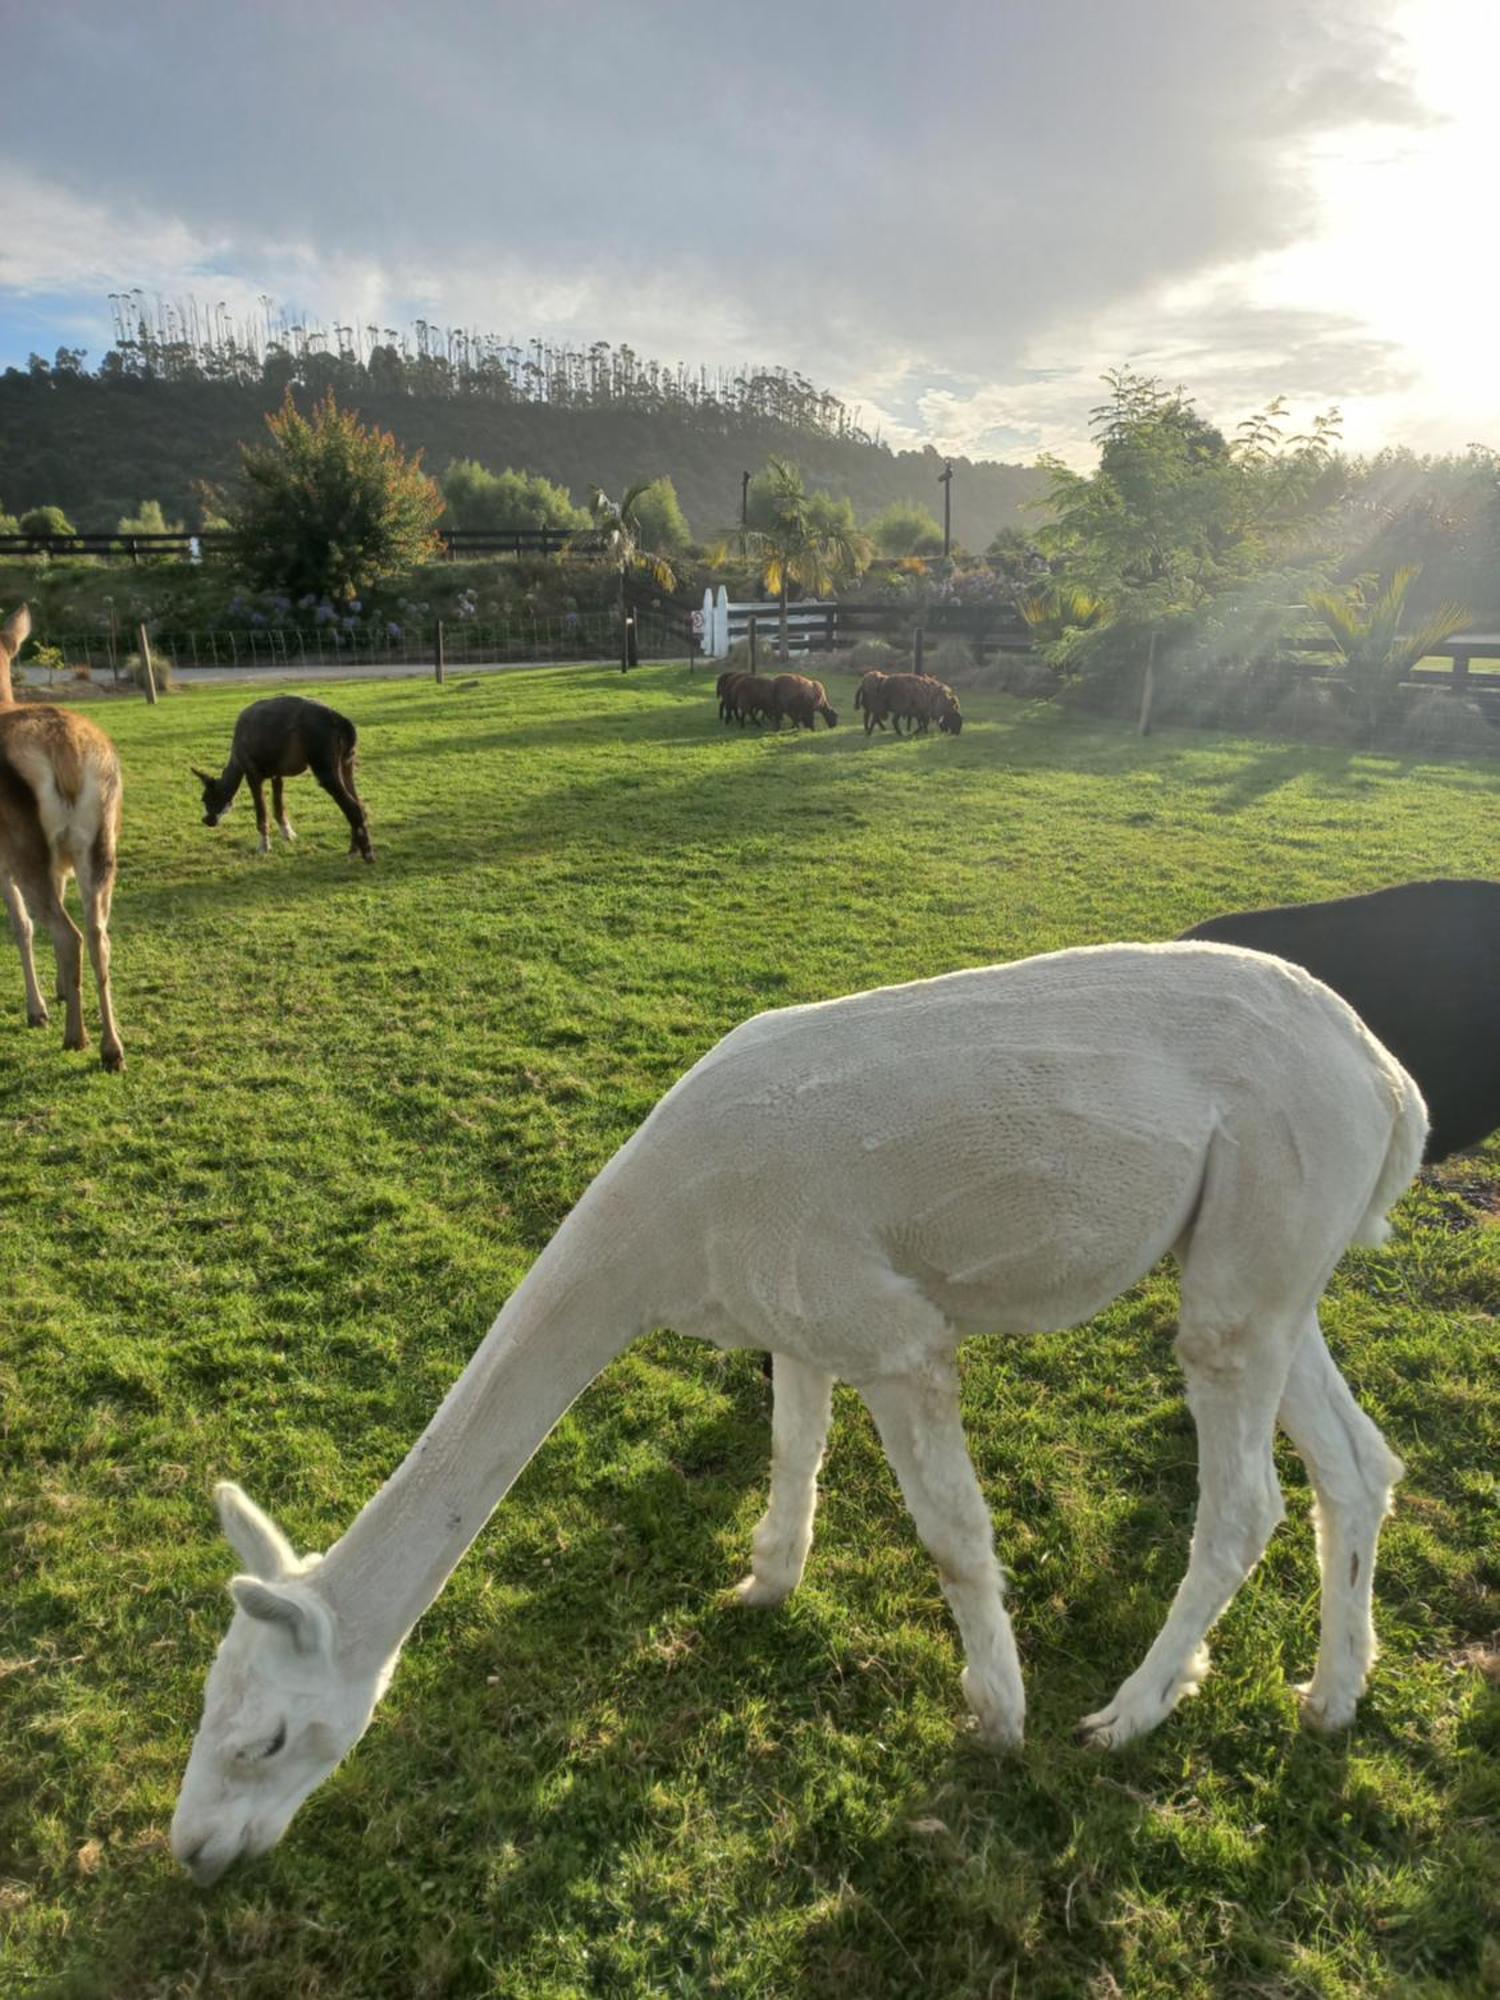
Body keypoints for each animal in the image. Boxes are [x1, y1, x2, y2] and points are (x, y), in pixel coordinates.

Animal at [0, 596, 126, 1072]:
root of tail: (67, 754)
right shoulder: (61, 865)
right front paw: (58, 990)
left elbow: (20, 926)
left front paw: (37, 1010)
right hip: (101, 842)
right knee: (97, 933)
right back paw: (112, 1048)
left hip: (22, 844)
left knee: (67, 932)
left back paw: (76, 1037)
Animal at [173, 944, 1424, 1880]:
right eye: (201, 1705)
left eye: (262, 1737)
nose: (191, 1848)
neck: (671, 1238)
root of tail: (1387, 1078)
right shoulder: (800, 1311)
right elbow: (792, 1446)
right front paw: (765, 1581)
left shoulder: (890, 1329)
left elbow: (952, 1535)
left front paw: (998, 1713)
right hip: (1268, 1260)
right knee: (1359, 1461)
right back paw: (1332, 1695)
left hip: (1258, 1231)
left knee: (1247, 1501)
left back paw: (1134, 1710)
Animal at [192, 696, 374, 860]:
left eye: (206, 799)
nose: (206, 820)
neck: (236, 757)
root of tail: (339, 719)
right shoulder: (277, 775)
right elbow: (278, 808)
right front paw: (288, 834)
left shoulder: (252, 774)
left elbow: (262, 814)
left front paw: (264, 846)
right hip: (346, 764)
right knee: (360, 805)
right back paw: (353, 850)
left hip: (325, 770)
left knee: (354, 808)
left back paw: (367, 854)